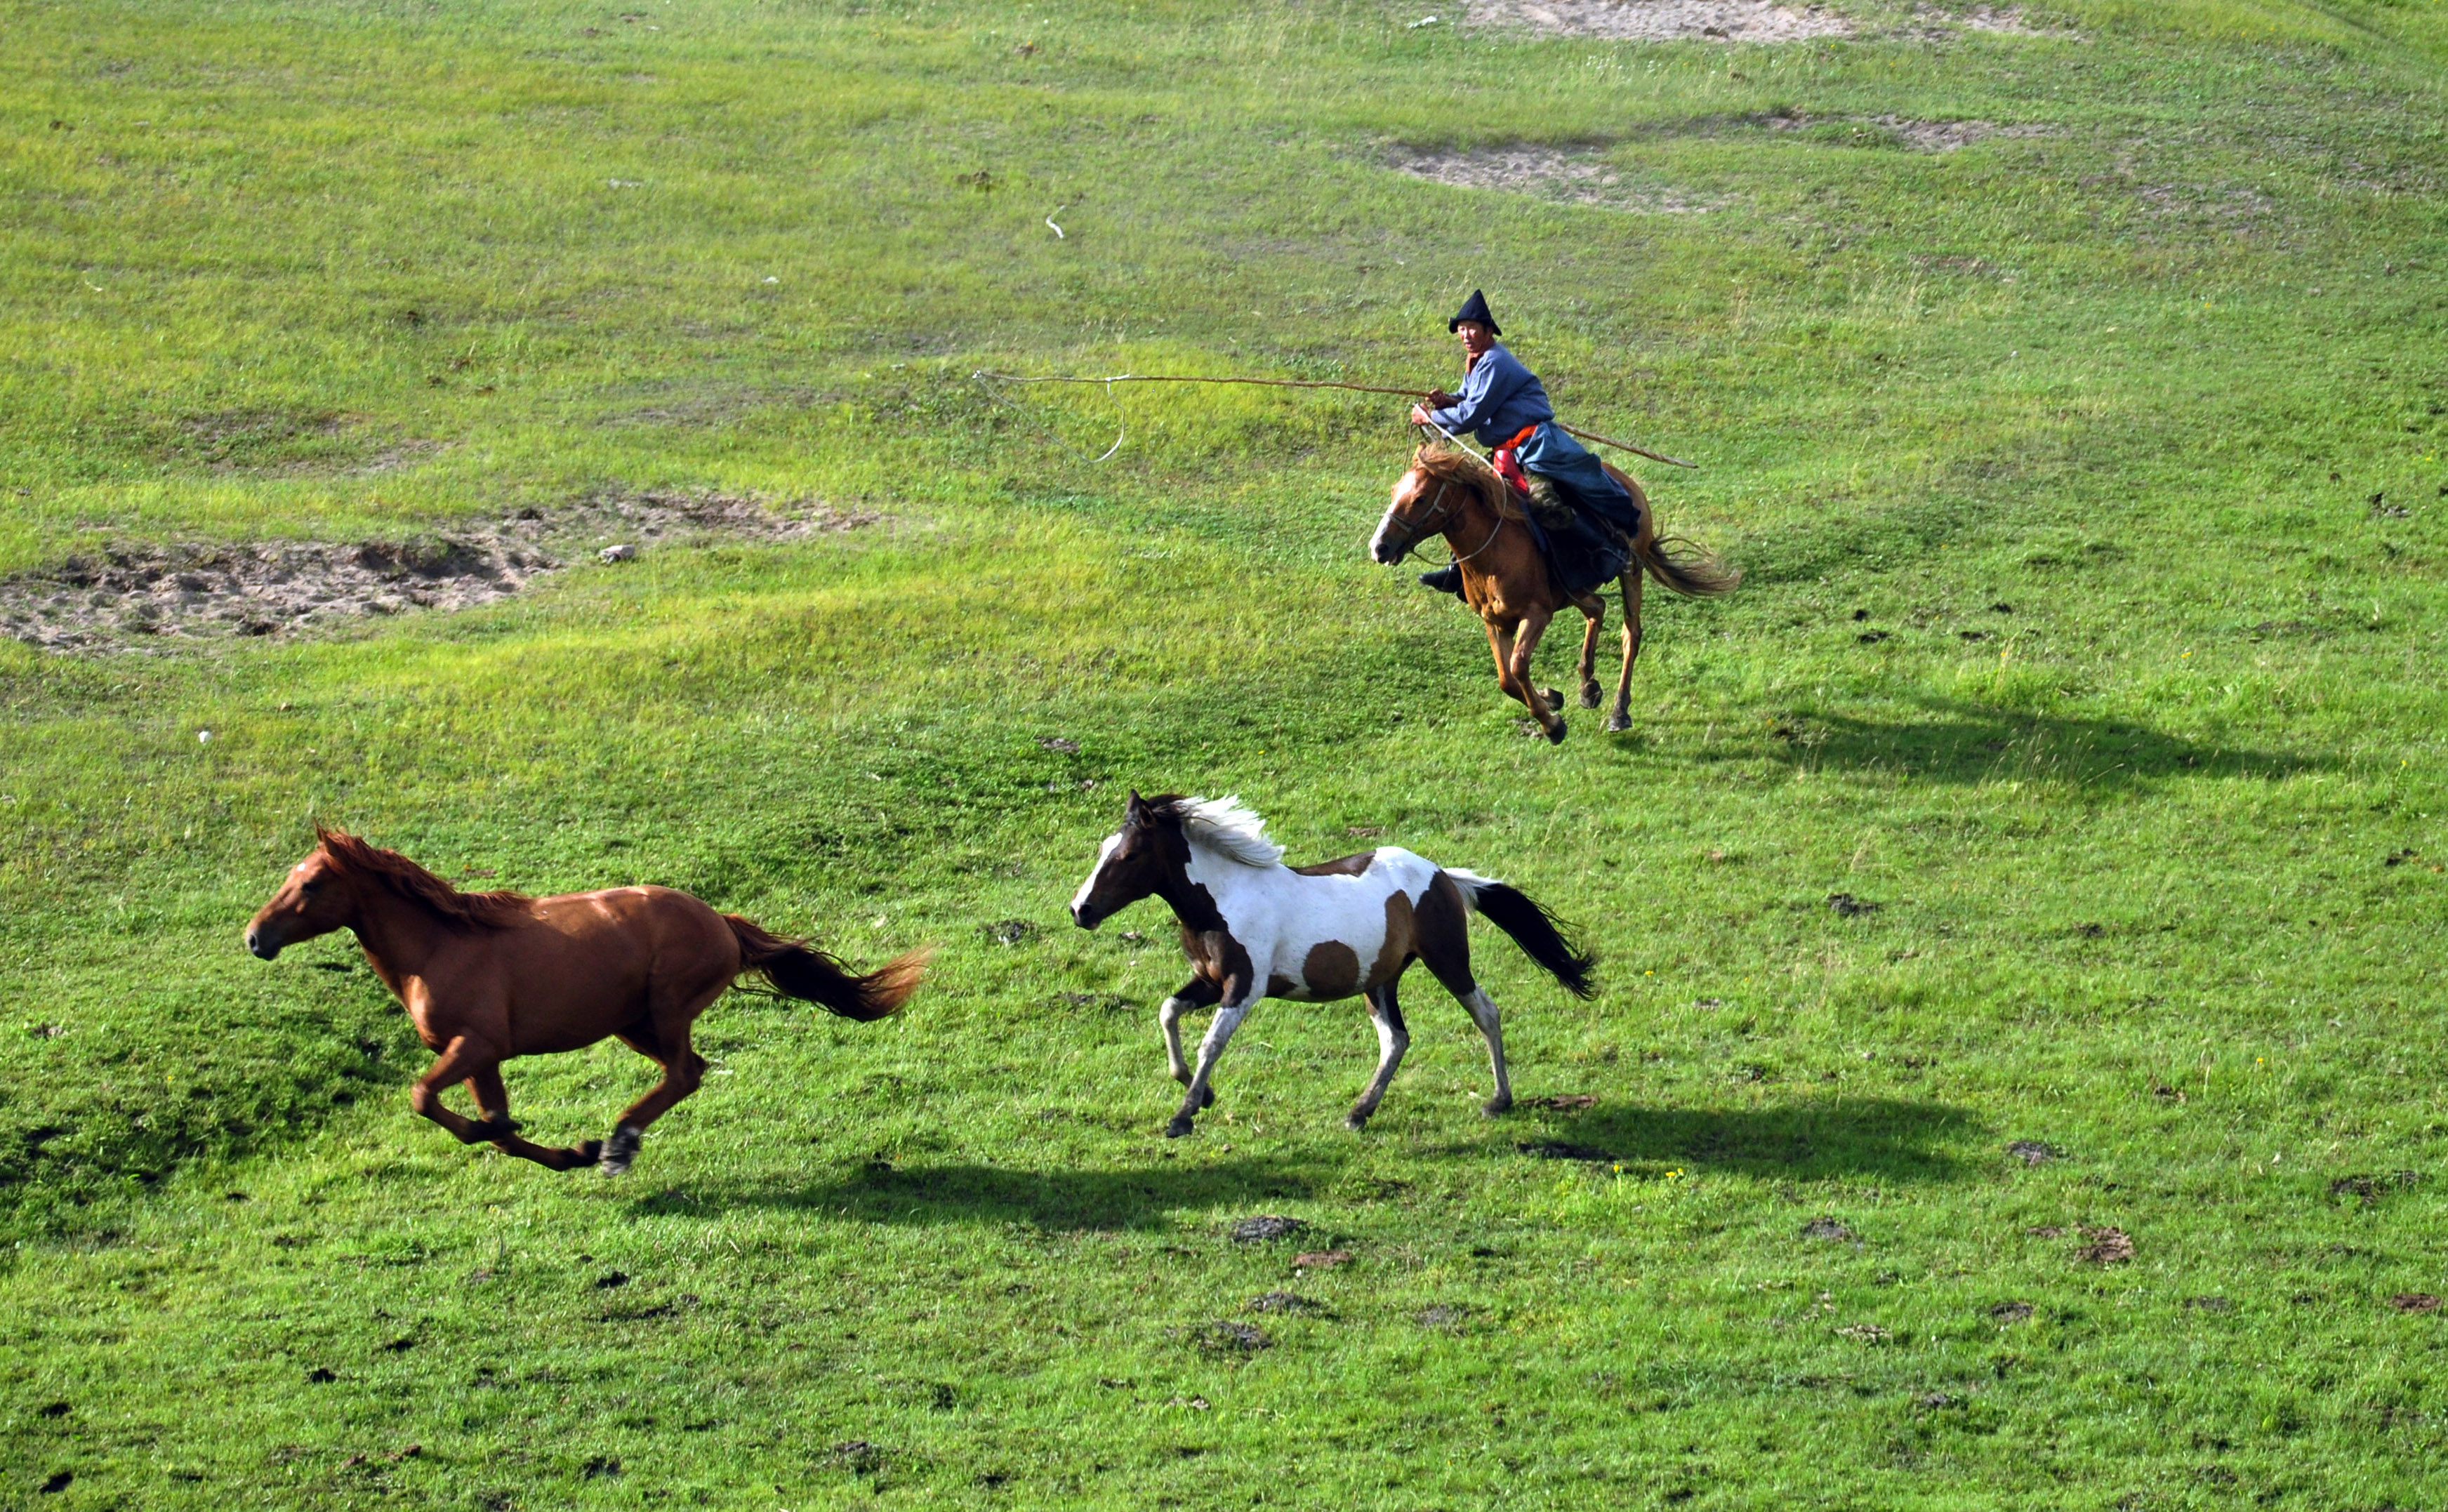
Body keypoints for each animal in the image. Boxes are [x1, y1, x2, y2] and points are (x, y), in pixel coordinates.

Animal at [246, 832, 925, 1169]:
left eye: (310, 885)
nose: (255, 938)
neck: (437, 947)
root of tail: (721, 924)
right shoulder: (483, 1058)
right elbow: (497, 1130)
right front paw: (569, 1153)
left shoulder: (476, 1045)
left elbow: (425, 1099)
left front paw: (573, 1146)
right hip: (633, 1023)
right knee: (691, 1072)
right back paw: (612, 1144)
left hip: (667, 1007)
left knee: (684, 1073)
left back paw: (620, 1143)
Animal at [1062, 788, 1596, 1130]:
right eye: (1104, 848)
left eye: (1128, 856)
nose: (1079, 909)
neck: (1222, 900)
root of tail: (1443, 874)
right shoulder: (1210, 981)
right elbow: (1168, 1011)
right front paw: (1198, 1091)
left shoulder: (1244, 987)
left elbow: (1210, 1044)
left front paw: (1184, 1115)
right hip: (1378, 980)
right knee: (1395, 1040)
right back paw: (1359, 1113)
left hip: (1448, 961)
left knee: (1485, 1013)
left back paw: (1498, 1101)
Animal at [1361, 445, 1742, 738]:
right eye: (1394, 492)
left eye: (1420, 498)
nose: (1379, 547)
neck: (1494, 551)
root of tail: (1626, 481)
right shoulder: (1494, 623)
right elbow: (1507, 680)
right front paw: (1552, 700)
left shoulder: (1536, 614)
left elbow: (1517, 666)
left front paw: (1552, 724)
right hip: (1575, 589)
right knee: (1597, 609)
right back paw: (1588, 687)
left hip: (1630, 573)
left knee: (1630, 634)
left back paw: (1619, 711)